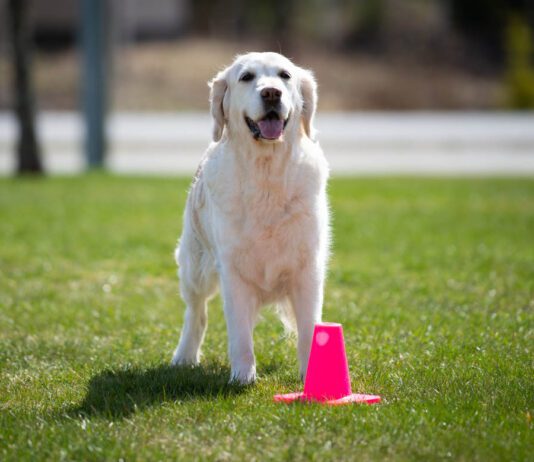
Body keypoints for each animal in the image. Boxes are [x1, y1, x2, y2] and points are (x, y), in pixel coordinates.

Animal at [172, 51, 330, 382]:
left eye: (285, 75)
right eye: (246, 77)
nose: (271, 93)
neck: (266, 174)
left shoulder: (308, 269)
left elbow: (309, 329)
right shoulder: (233, 272)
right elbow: (240, 334)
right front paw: (242, 377)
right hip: (195, 266)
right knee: (196, 311)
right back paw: (184, 356)